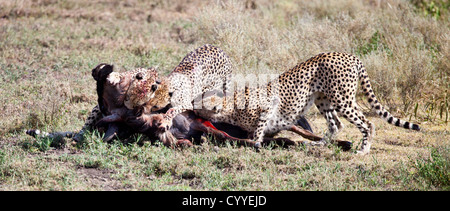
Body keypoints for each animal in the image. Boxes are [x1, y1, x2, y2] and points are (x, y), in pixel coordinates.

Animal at [180, 52, 422, 154]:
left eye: (198, 101)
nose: (189, 104)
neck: (229, 107)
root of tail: (350, 55)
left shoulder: (268, 106)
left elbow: (258, 128)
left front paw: (256, 143)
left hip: (342, 99)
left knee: (367, 123)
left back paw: (363, 149)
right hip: (323, 99)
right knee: (336, 125)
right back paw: (320, 145)